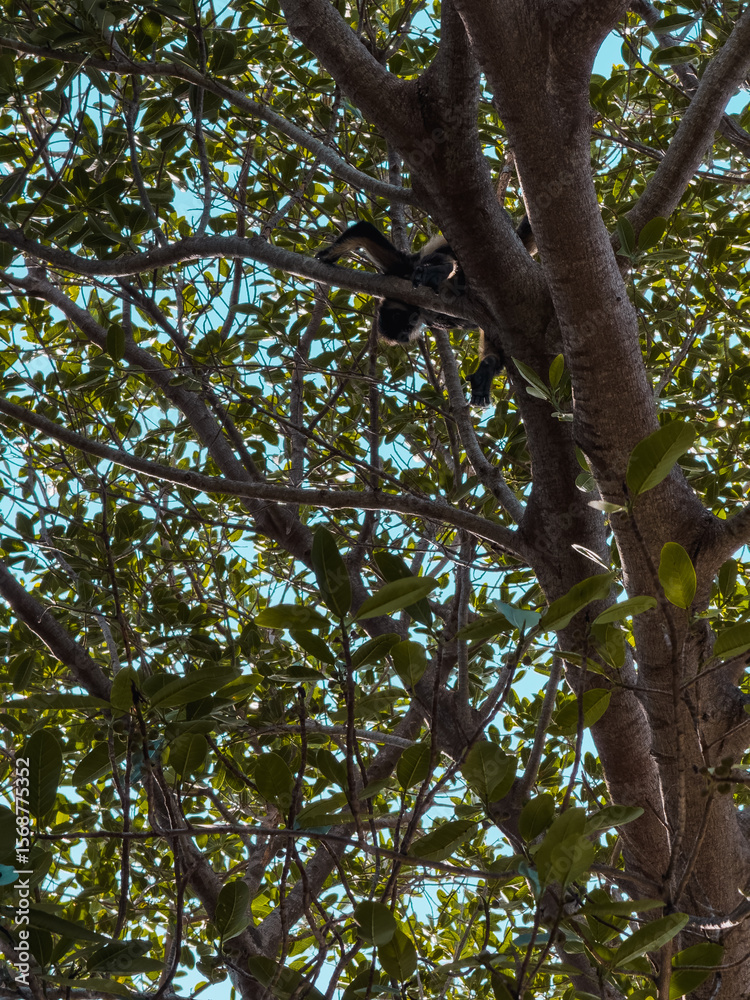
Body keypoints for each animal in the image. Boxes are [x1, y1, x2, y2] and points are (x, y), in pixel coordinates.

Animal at [316, 218, 535, 405]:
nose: (405, 337)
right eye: (404, 331)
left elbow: (364, 229)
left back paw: (438, 271)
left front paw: (328, 254)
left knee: (445, 257)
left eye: (406, 325)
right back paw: (488, 367)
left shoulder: (403, 271)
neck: (419, 310)